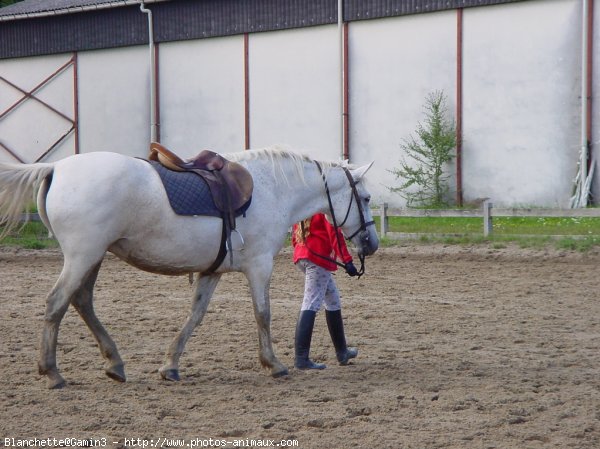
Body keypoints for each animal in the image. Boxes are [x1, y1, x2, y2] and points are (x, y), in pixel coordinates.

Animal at [0, 146, 376, 384]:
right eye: (367, 198)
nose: (371, 243)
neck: (272, 189)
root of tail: (56, 167)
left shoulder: (213, 271)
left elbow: (195, 316)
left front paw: (170, 366)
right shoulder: (259, 267)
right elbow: (263, 314)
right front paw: (274, 364)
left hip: (93, 257)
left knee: (82, 302)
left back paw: (115, 364)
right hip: (82, 257)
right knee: (57, 303)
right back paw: (52, 372)